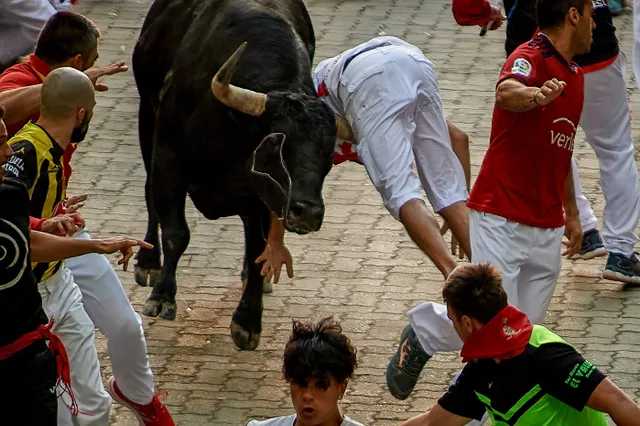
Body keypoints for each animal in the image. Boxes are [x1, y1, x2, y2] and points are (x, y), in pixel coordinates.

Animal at [131, 0, 352, 350]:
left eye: (329, 154)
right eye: (277, 144)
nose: (308, 213)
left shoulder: (263, 198)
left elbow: (258, 249)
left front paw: (248, 321)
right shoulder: (168, 159)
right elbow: (177, 232)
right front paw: (163, 296)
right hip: (146, 118)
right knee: (149, 195)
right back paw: (148, 261)